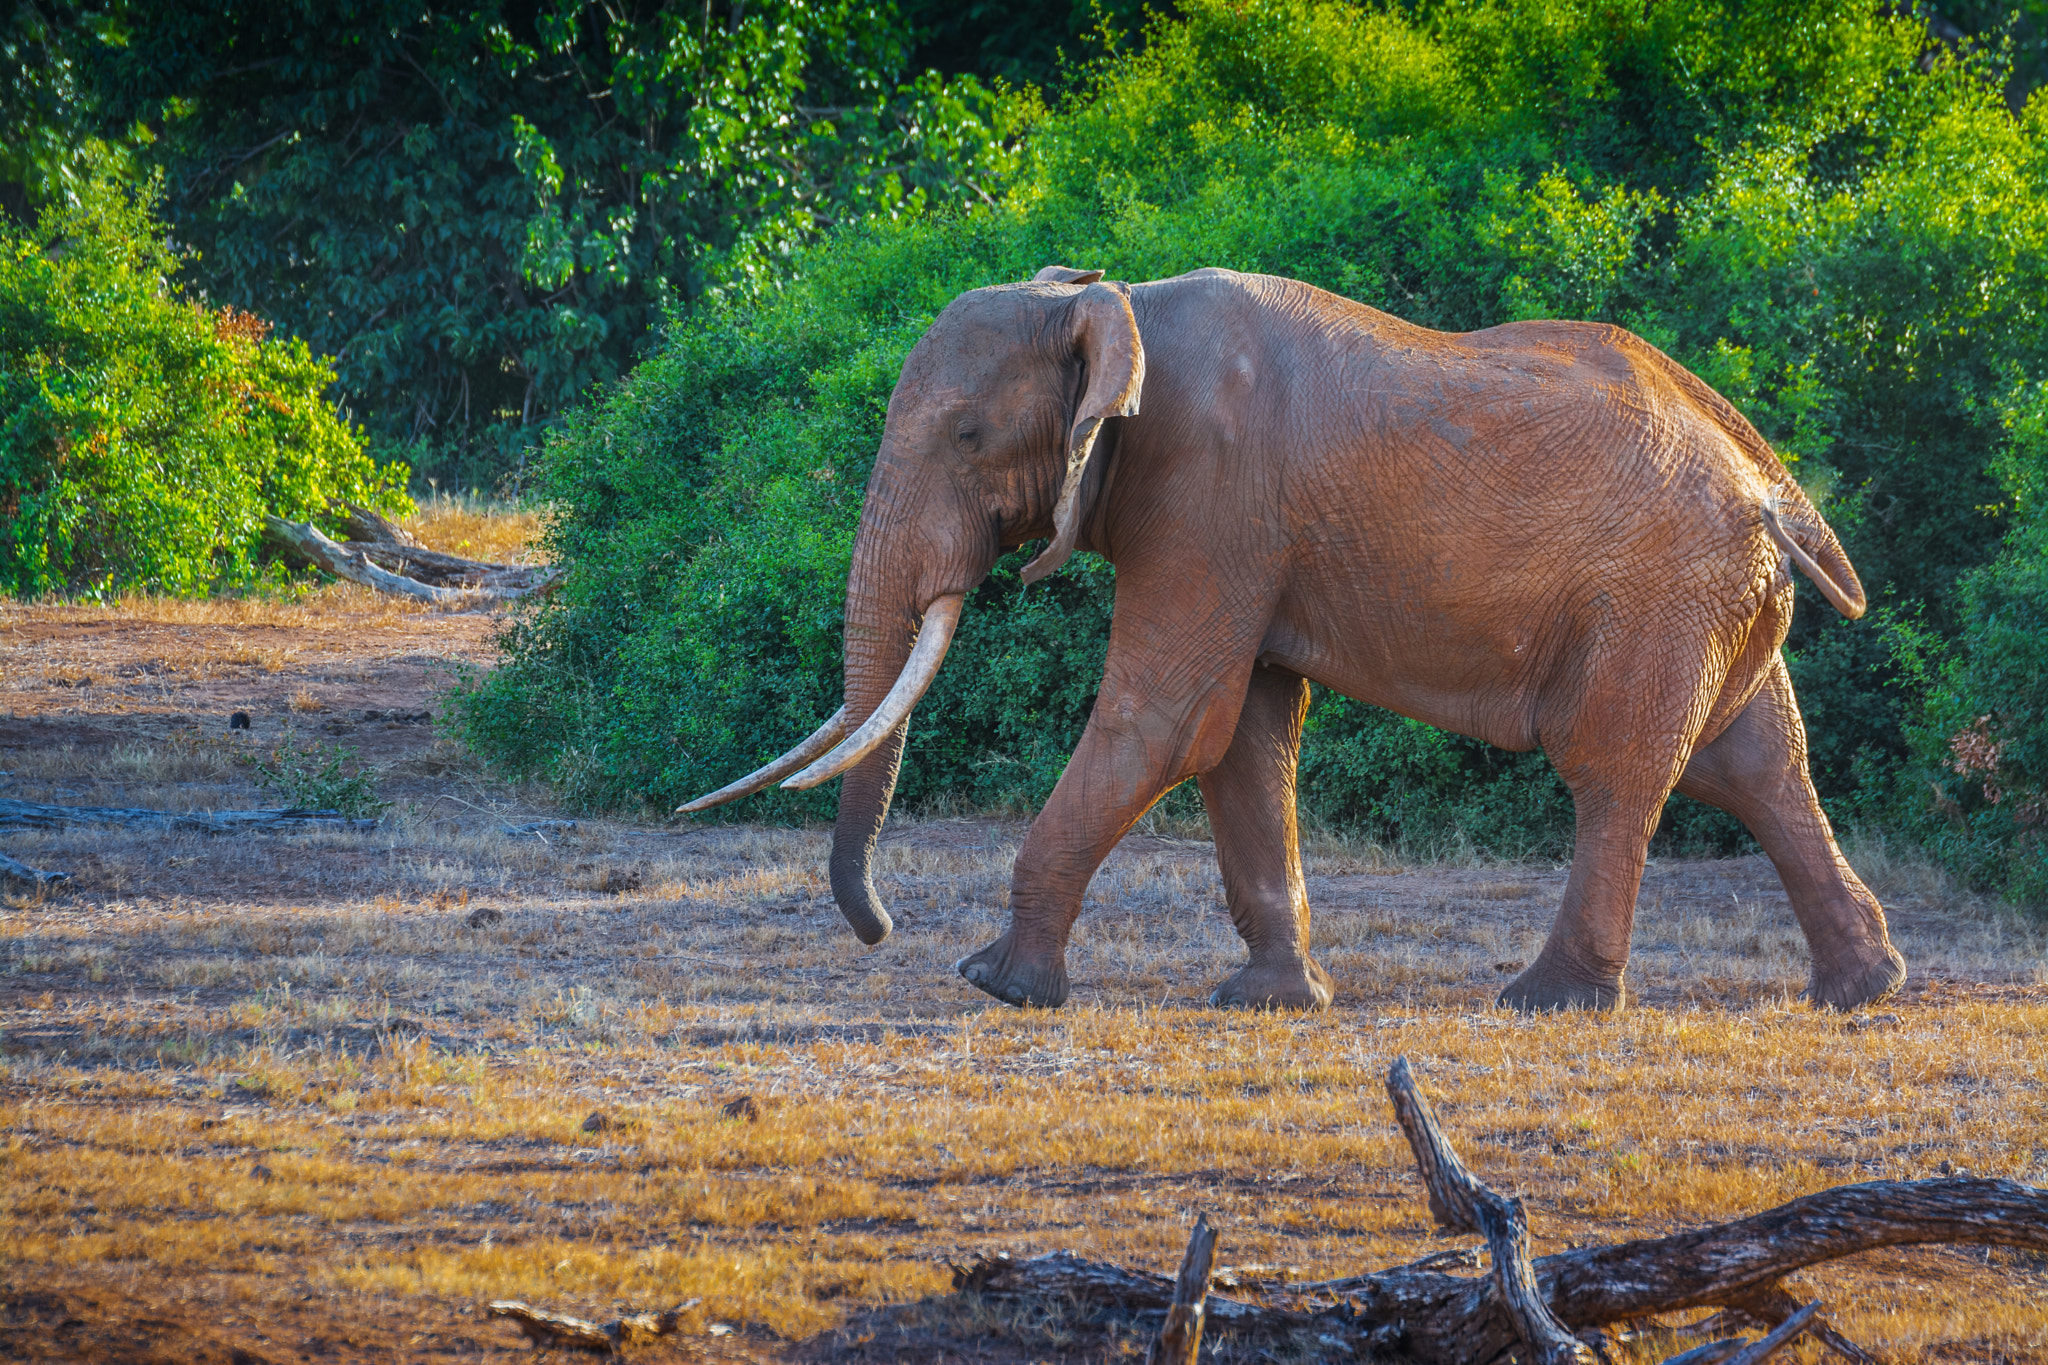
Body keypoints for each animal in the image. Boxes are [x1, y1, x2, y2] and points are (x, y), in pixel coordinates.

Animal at [684, 263, 1900, 1015]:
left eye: (969, 436)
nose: (881, 930)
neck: (1110, 303)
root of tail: (1774, 491)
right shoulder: (1233, 528)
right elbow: (1242, 733)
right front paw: (1268, 1001)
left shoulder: (1209, 494)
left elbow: (1167, 718)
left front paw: (993, 983)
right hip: (1709, 601)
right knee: (1755, 766)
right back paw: (1862, 988)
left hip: (1655, 596)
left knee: (1616, 769)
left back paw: (1546, 1002)